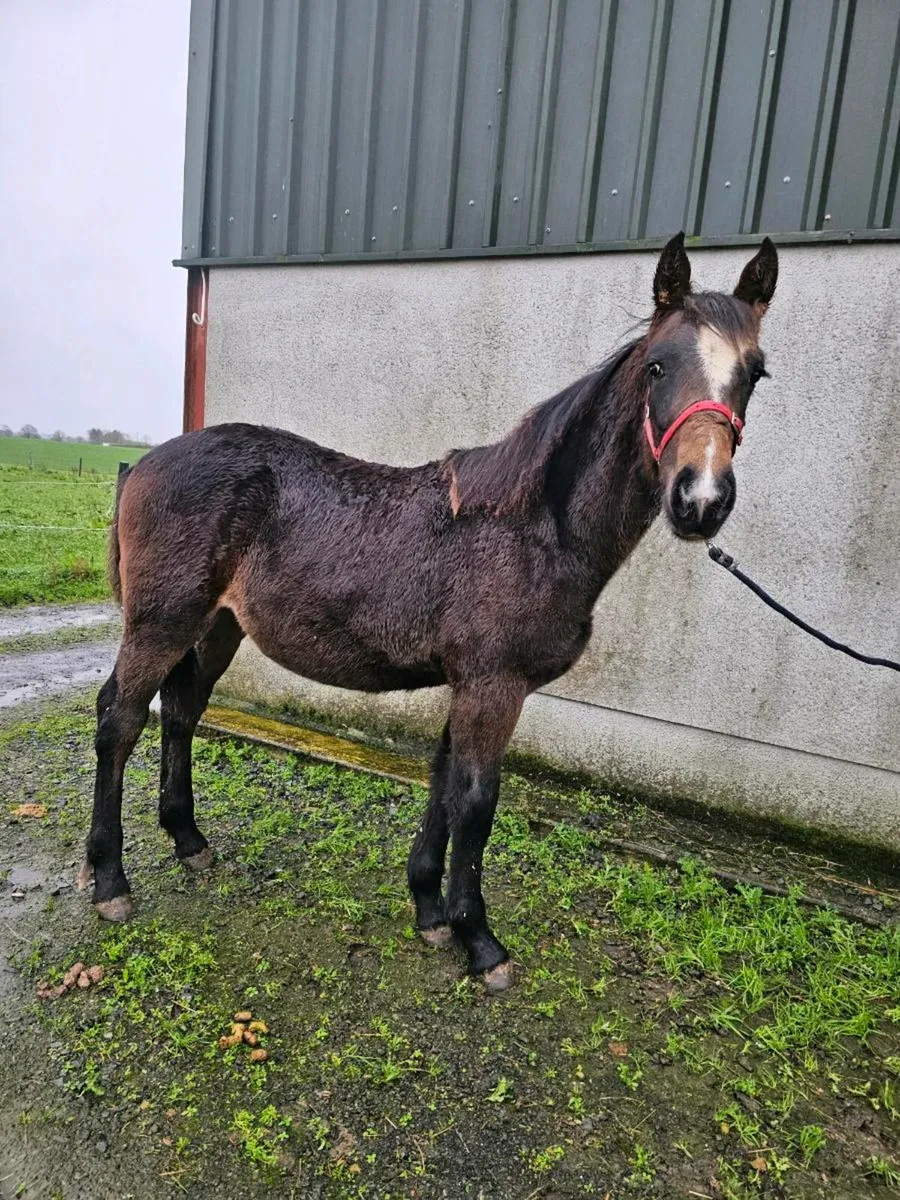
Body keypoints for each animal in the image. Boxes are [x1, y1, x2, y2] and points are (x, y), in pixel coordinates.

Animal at [80, 233, 777, 991]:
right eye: (656, 365)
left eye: (755, 374)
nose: (701, 500)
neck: (532, 527)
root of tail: (144, 463)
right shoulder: (494, 685)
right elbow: (475, 804)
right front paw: (482, 942)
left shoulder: (468, 683)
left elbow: (444, 783)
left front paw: (431, 912)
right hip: (161, 621)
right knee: (119, 719)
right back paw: (110, 880)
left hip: (216, 627)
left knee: (181, 711)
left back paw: (189, 840)